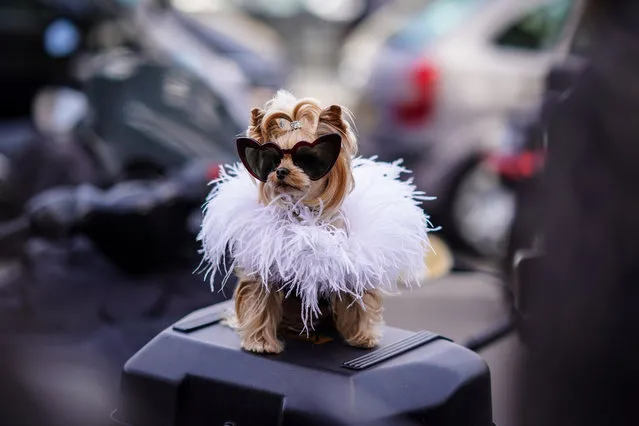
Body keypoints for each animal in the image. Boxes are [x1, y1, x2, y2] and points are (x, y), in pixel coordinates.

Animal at [236, 92, 384, 352]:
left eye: (307, 159)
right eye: (272, 161)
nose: (281, 172)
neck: (303, 211)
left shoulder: (348, 267)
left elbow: (356, 302)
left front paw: (362, 336)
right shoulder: (266, 267)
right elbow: (261, 302)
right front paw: (260, 342)